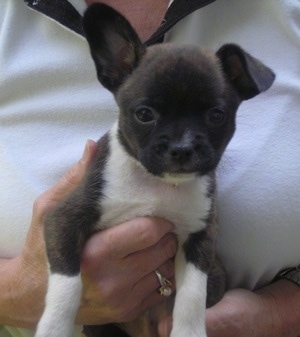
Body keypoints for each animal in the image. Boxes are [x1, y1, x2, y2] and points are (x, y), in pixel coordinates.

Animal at [34, 3, 274, 336]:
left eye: (216, 115)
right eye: (144, 114)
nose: (182, 147)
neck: (157, 184)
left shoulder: (200, 238)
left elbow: (192, 296)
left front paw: (189, 331)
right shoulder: (65, 219)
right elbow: (67, 283)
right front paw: (54, 327)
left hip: (217, 276)